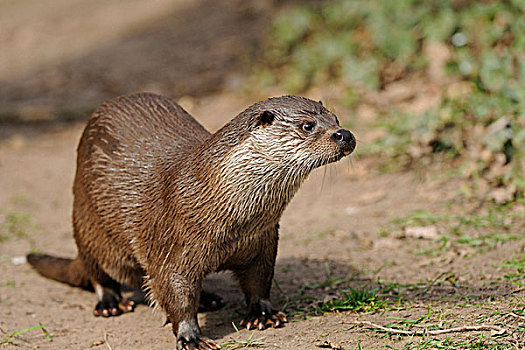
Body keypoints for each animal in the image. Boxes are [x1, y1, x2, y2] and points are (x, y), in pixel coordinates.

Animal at [27, 93, 356, 350]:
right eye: (307, 126)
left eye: (336, 118)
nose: (345, 134)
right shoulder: (172, 244)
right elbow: (175, 292)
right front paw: (190, 336)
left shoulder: (262, 241)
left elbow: (259, 279)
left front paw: (263, 313)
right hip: (87, 223)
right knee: (99, 271)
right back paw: (110, 302)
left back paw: (208, 298)